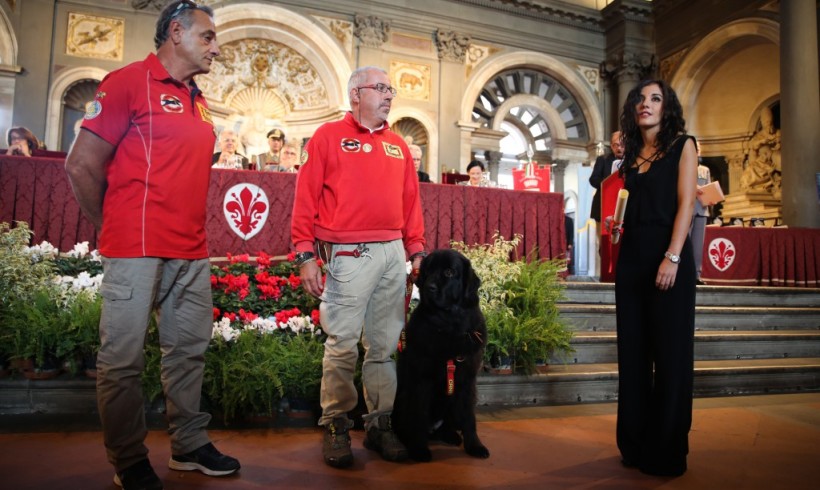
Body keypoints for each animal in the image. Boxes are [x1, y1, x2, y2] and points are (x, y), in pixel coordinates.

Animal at [394, 251, 490, 462]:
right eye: (428, 271)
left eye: (449, 272)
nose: (429, 287)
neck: (449, 326)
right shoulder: (422, 380)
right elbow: (419, 417)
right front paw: (419, 450)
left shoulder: (467, 381)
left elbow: (469, 418)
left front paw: (475, 446)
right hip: (403, 399)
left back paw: (451, 436)